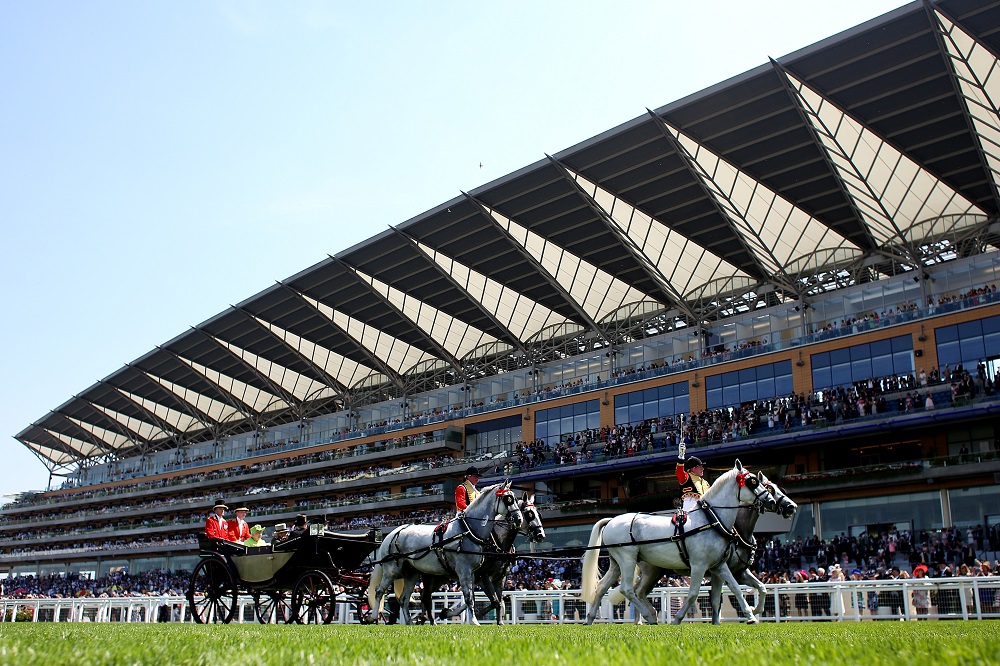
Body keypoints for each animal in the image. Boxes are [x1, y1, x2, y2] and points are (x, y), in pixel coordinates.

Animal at [368, 478, 524, 624]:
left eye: (515, 499)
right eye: (508, 499)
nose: (519, 519)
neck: (468, 530)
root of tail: (393, 533)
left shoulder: (474, 574)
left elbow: (474, 597)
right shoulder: (465, 570)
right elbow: (469, 597)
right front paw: (474, 621)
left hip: (411, 574)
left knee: (404, 599)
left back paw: (410, 622)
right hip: (391, 570)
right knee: (379, 591)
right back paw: (374, 616)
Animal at [580, 462, 772, 624]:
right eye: (753, 481)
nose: (770, 500)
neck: (711, 521)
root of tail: (612, 520)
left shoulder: (719, 566)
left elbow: (735, 588)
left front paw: (751, 615)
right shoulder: (699, 565)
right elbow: (693, 593)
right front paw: (677, 619)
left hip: (617, 563)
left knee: (603, 587)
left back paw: (590, 619)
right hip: (628, 559)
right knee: (627, 589)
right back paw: (649, 615)